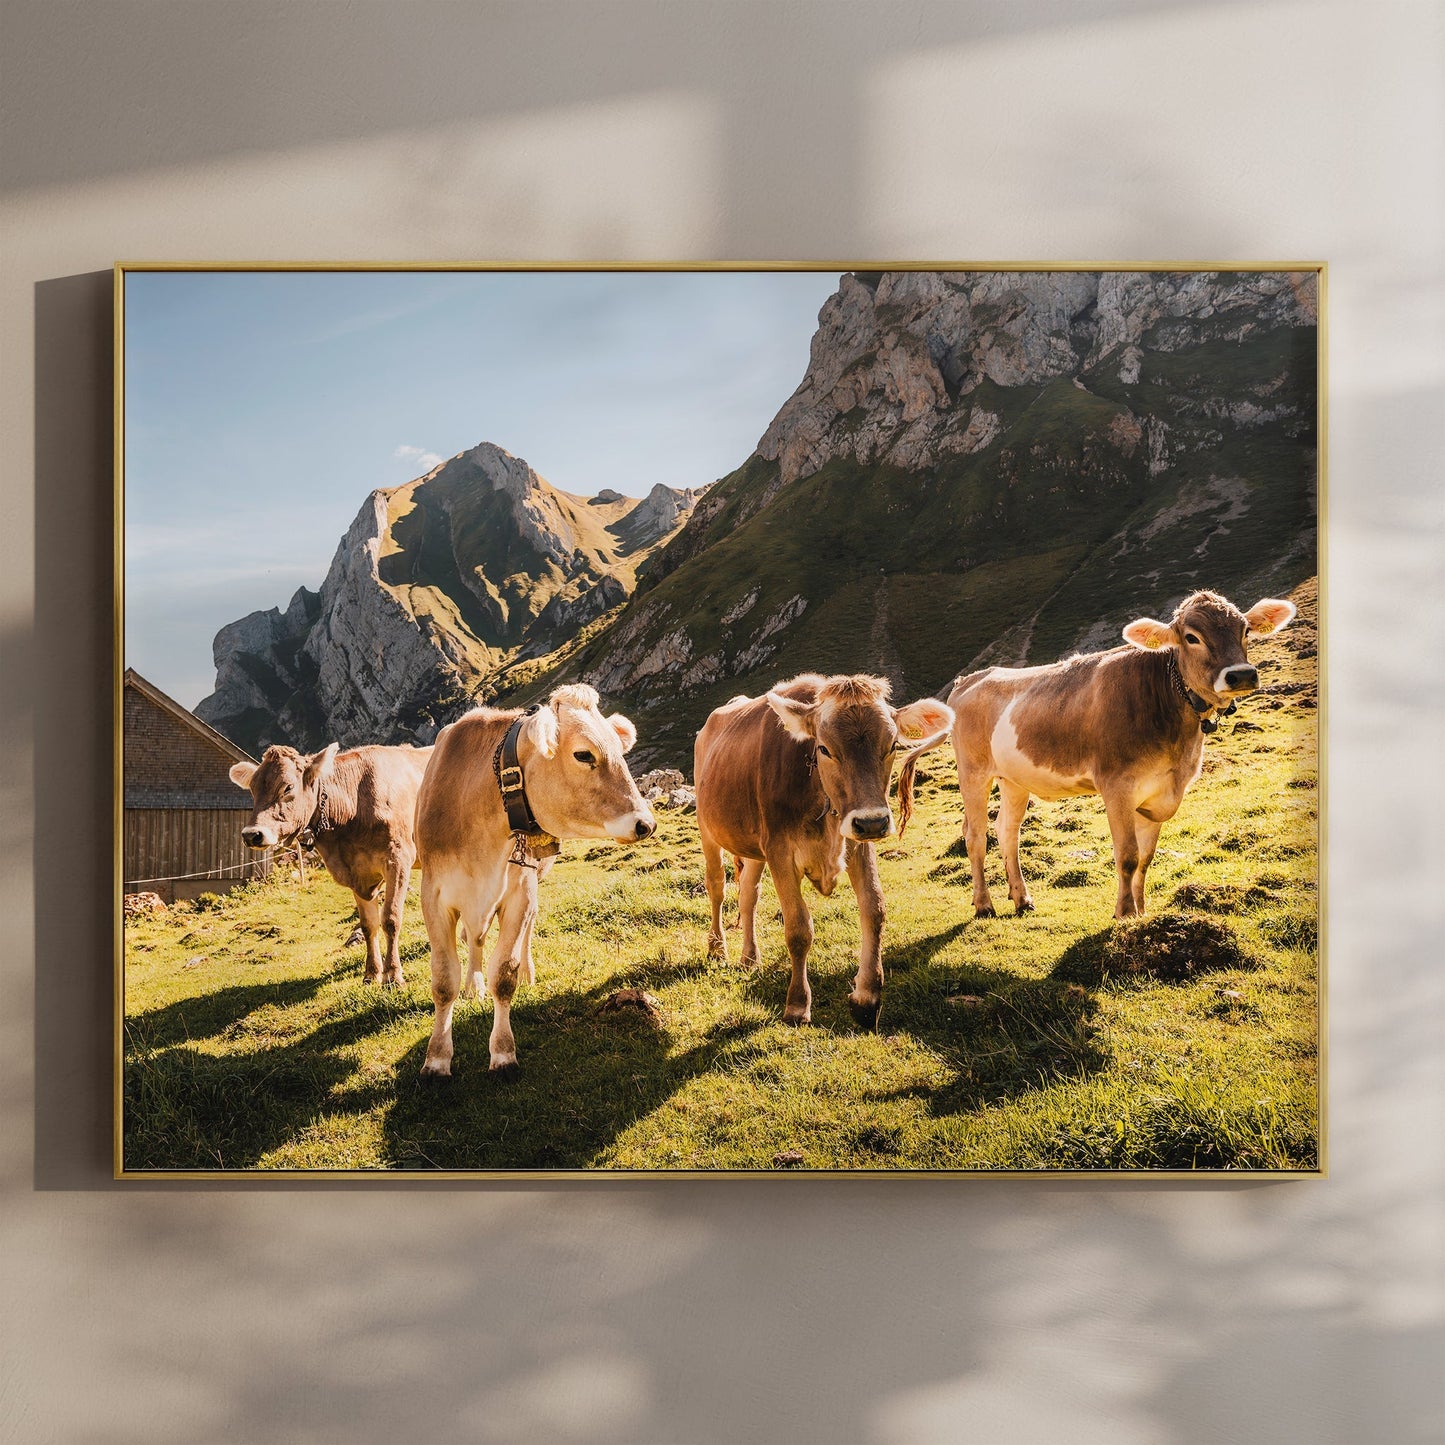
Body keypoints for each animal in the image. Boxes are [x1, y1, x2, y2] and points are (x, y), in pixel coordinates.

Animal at [229, 743, 432, 985]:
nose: (252, 835)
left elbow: (391, 919)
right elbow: (368, 925)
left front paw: (392, 975)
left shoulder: (398, 859)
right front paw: (371, 974)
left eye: (287, 787)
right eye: (252, 789)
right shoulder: (356, 874)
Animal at [414, 684, 655, 1078]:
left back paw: (527, 971)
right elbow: (444, 980)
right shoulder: (434, 896)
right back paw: (473, 983)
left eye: (620, 752)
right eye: (583, 754)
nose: (645, 824)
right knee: (475, 938)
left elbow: (504, 975)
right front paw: (436, 1059)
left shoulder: (519, 894)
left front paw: (502, 1053)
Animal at [694, 674, 954, 1030]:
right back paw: (718, 949)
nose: (873, 822)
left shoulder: (855, 839)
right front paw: (796, 1005)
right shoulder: (779, 850)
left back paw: (749, 958)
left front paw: (867, 997)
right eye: (824, 748)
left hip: (753, 846)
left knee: (748, 894)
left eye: (892, 746)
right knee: (717, 886)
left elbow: (874, 909)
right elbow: (798, 928)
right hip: (708, 829)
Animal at [897, 590, 1298, 921]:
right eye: (1192, 637)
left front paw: (1141, 911)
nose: (1241, 675)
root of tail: (968, 680)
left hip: (1014, 778)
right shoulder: (1116, 785)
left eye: (1245, 630)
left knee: (1006, 831)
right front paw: (1124, 913)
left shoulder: (1159, 791)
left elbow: (1146, 859)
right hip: (973, 771)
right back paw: (984, 905)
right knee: (975, 835)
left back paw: (1022, 899)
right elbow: (1128, 856)